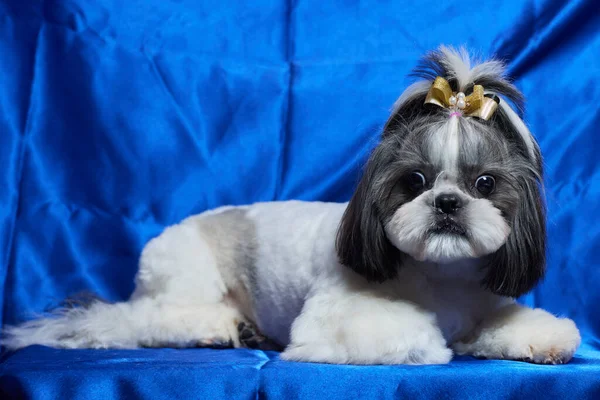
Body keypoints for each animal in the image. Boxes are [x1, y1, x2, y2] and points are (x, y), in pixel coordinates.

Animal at [0, 47, 580, 366]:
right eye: (414, 180)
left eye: (484, 183)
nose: (447, 201)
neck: (441, 279)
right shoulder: (338, 317)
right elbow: (408, 333)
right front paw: (434, 342)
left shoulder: (484, 301)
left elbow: (506, 323)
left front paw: (537, 340)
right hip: (185, 280)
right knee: (146, 322)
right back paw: (219, 329)